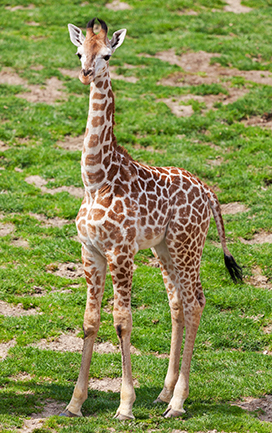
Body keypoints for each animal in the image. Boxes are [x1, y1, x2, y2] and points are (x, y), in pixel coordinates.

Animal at [60, 17, 242, 418]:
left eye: (107, 54)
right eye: (79, 52)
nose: (85, 74)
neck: (96, 179)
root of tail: (210, 195)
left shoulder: (121, 251)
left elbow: (122, 321)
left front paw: (125, 405)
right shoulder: (90, 252)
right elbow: (90, 322)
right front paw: (75, 403)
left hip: (188, 245)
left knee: (195, 302)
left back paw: (177, 402)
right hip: (165, 248)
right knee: (177, 305)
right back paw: (163, 392)